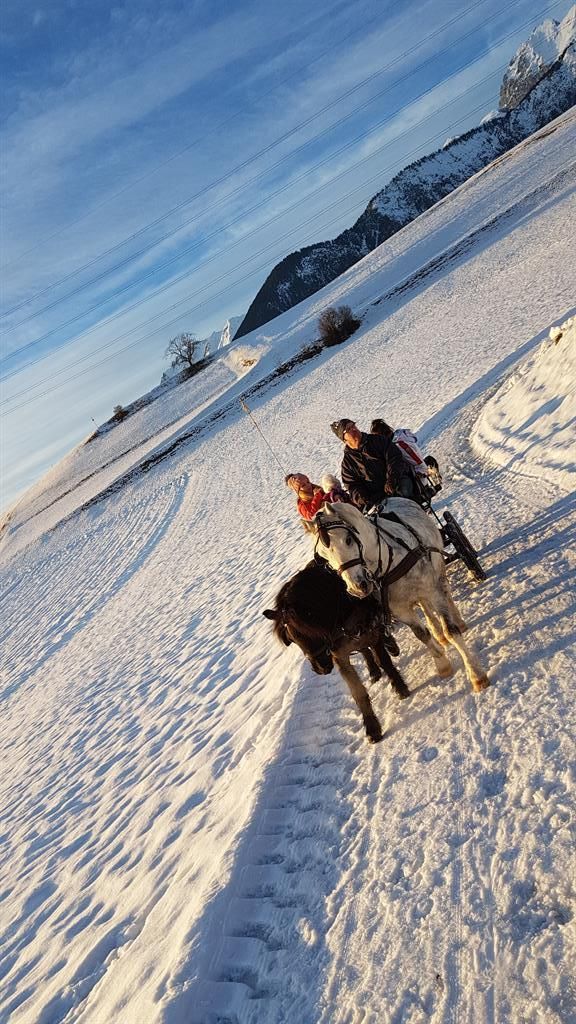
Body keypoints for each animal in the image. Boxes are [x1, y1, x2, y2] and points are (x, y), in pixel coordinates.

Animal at [263, 559, 411, 743]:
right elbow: (357, 691)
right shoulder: (340, 656)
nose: (320, 669)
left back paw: (390, 646)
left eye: (309, 631)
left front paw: (400, 687)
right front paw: (372, 727)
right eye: (293, 640)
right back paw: (373, 670)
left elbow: (386, 662)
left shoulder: (372, 635)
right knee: (364, 650)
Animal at [310, 499, 490, 693]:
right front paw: (442, 664)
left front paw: (476, 674)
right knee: (424, 606)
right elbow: (422, 634)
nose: (357, 588)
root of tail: (393, 498)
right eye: (323, 556)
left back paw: (458, 620)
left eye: (348, 540)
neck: (388, 562)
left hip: (437, 569)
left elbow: (451, 631)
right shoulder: (400, 609)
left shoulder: (432, 591)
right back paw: (437, 632)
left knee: (445, 592)